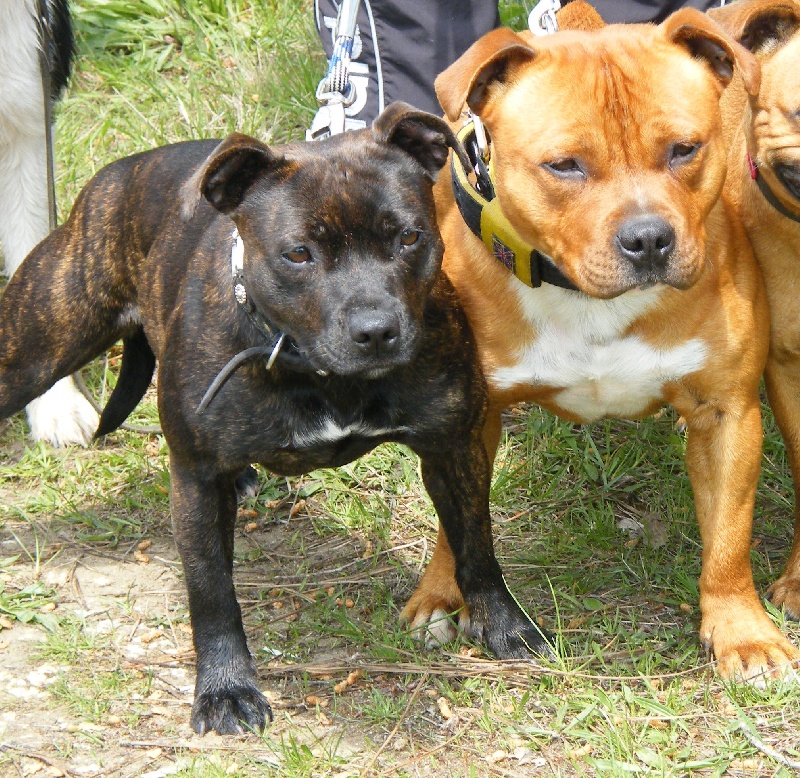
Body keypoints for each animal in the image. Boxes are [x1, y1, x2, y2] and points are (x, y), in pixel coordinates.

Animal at [404, 4, 800, 680]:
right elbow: (460, 522)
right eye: (564, 165)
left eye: (684, 150)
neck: (587, 300)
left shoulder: (728, 414)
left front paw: (741, 632)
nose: (648, 239)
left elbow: (728, 539)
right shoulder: (461, 420)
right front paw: (441, 592)